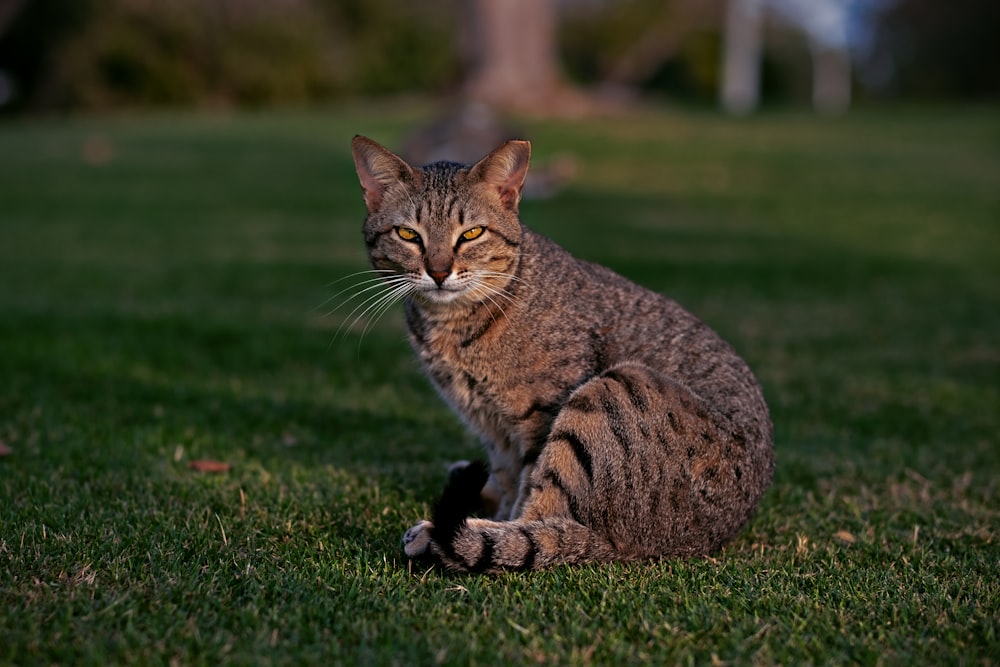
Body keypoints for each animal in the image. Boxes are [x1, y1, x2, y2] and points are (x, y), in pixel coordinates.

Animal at [352, 137, 772, 576]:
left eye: (471, 233)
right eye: (407, 234)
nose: (438, 272)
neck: (453, 326)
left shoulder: (537, 416)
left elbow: (527, 490)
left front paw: (484, 530)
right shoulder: (493, 428)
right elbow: (508, 483)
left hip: (612, 389)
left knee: (551, 522)